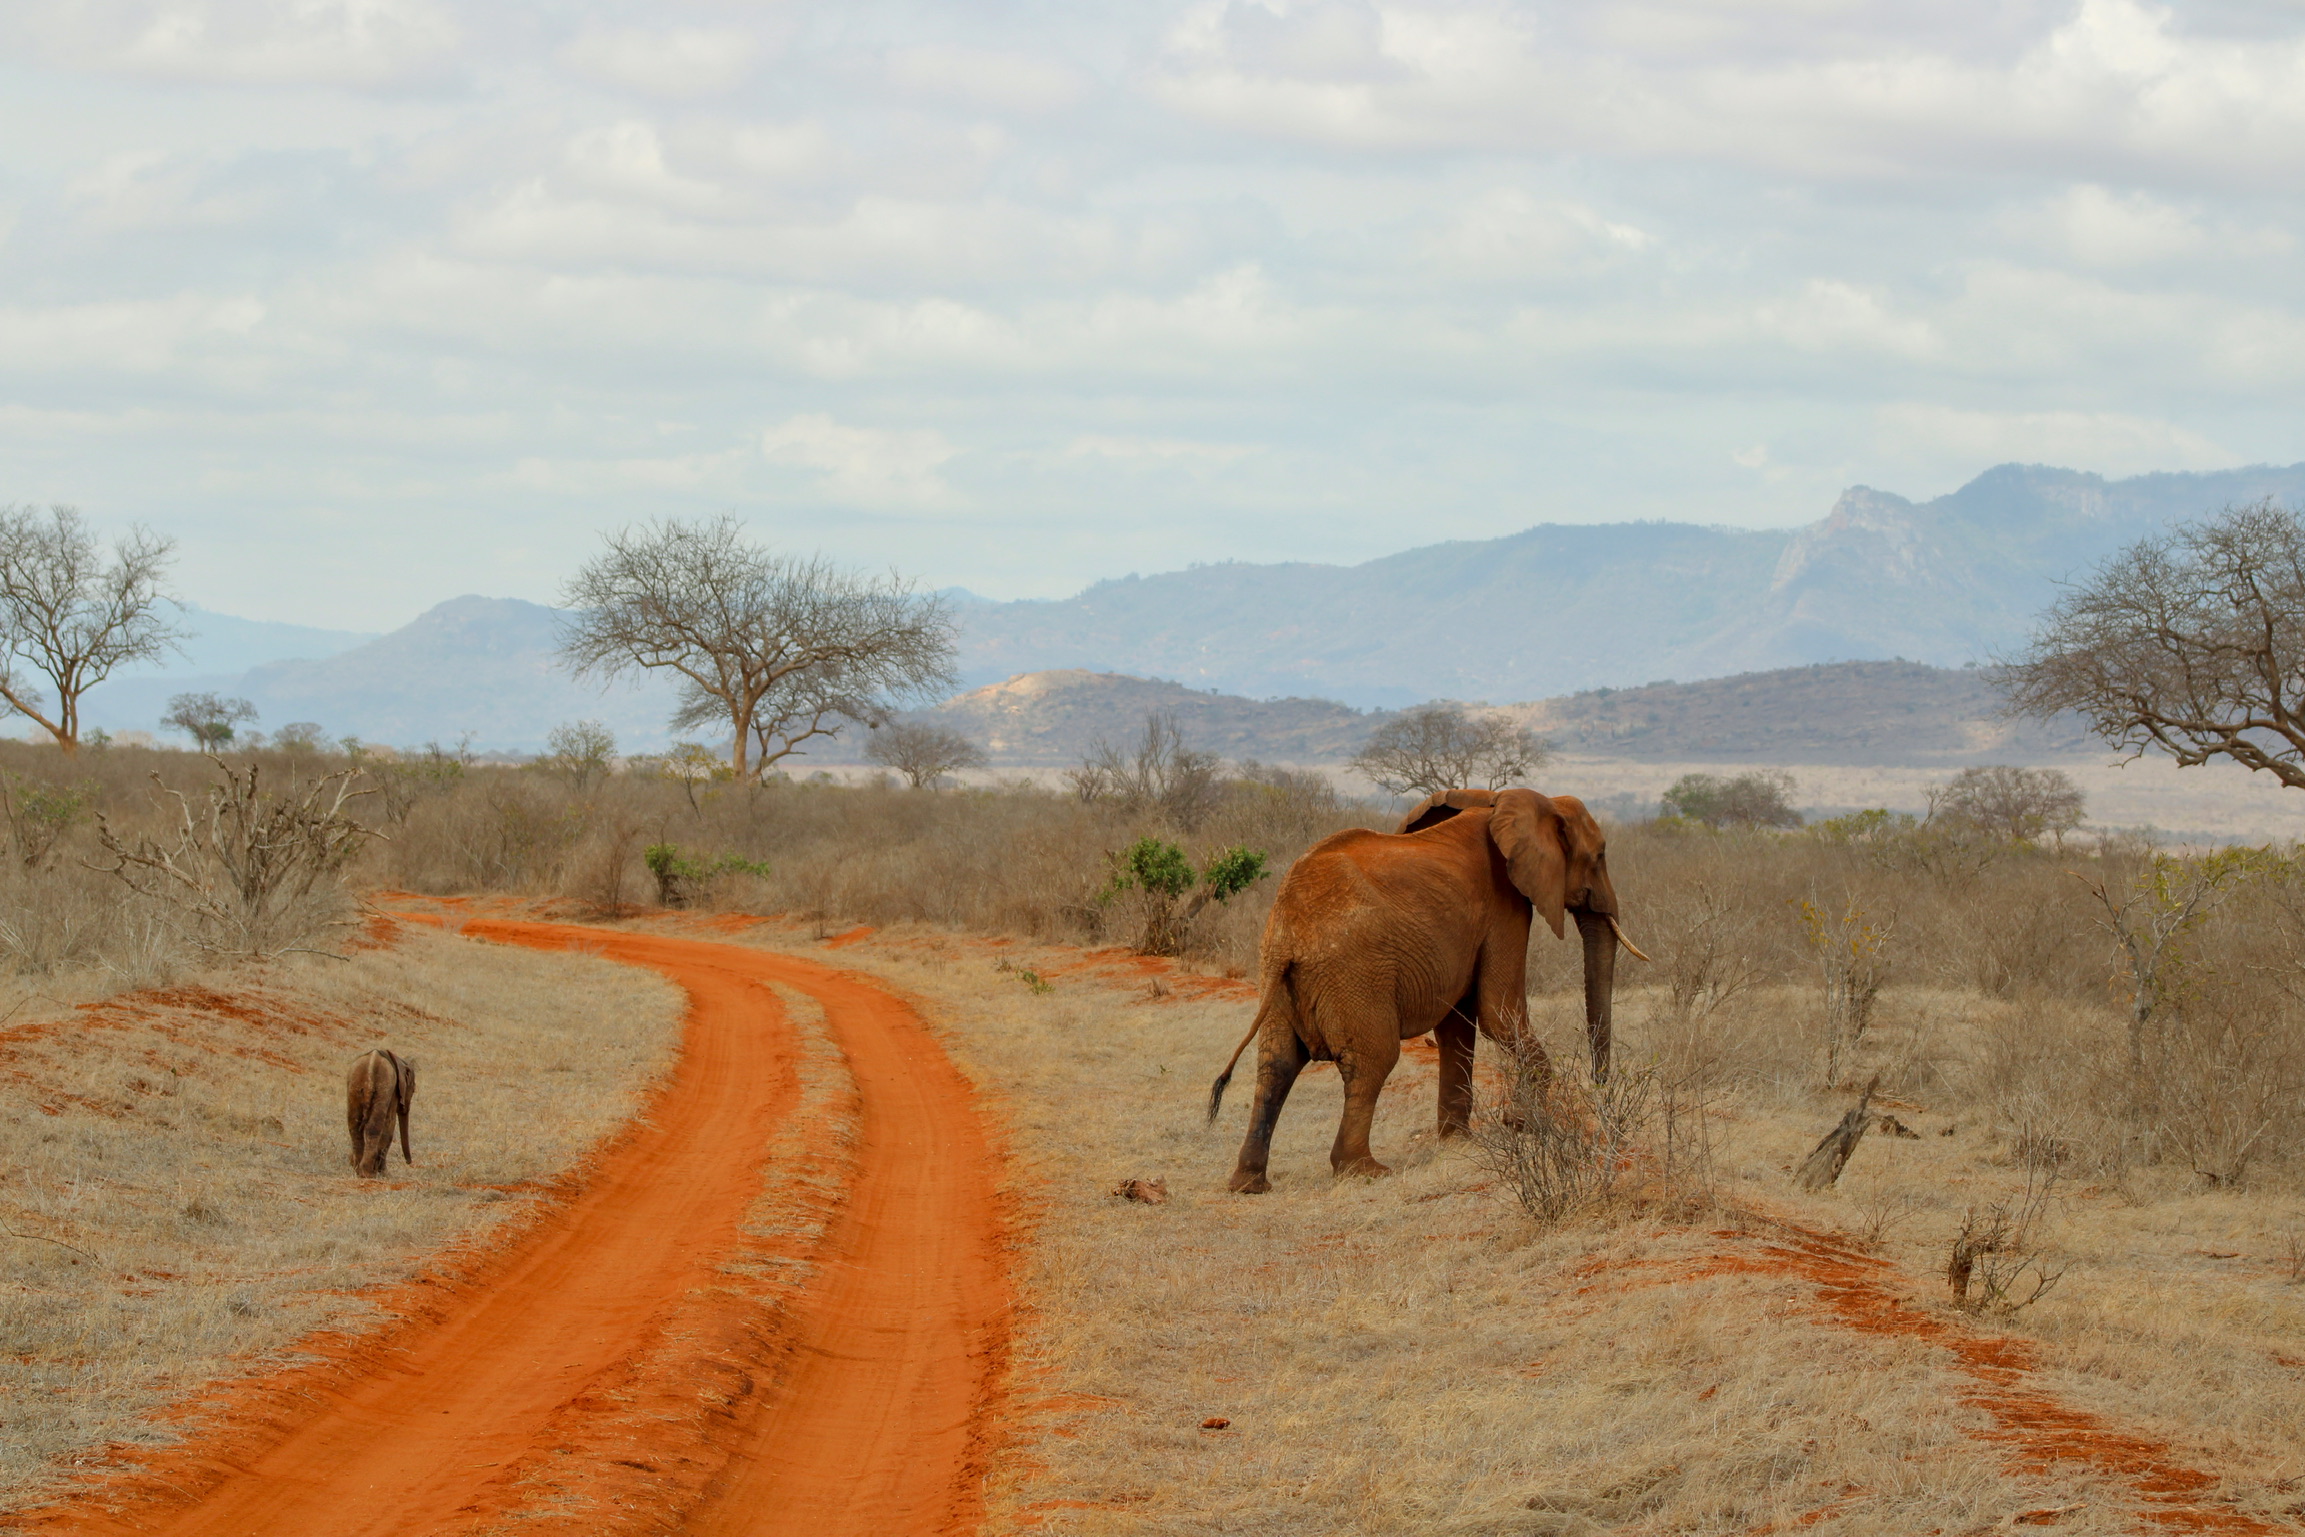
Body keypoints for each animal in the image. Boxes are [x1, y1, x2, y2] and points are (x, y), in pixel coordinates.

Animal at [346, 1048, 417, 1179]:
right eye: (413, 1089)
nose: (409, 1162)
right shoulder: (393, 1091)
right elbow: (390, 1123)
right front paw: (385, 1174)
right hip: (383, 1088)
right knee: (374, 1126)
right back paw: (368, 1173)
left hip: (354, 1087)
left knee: (354, 1125)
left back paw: (358, 1170)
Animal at [1208, 787, 1644, 1194]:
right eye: (1599, 856)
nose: (1600, 1083)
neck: (1501, 802)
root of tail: (1288, 930)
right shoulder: (1506, 907)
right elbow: (1497, 1011)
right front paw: (1524, 1125)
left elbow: (1457, 1027)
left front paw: (1461, 1141)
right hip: (1355, 974)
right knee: (1372, 1060)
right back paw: (1365, 1171)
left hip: (1279, 979)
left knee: (1276, 1065)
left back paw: (1249, 1184)